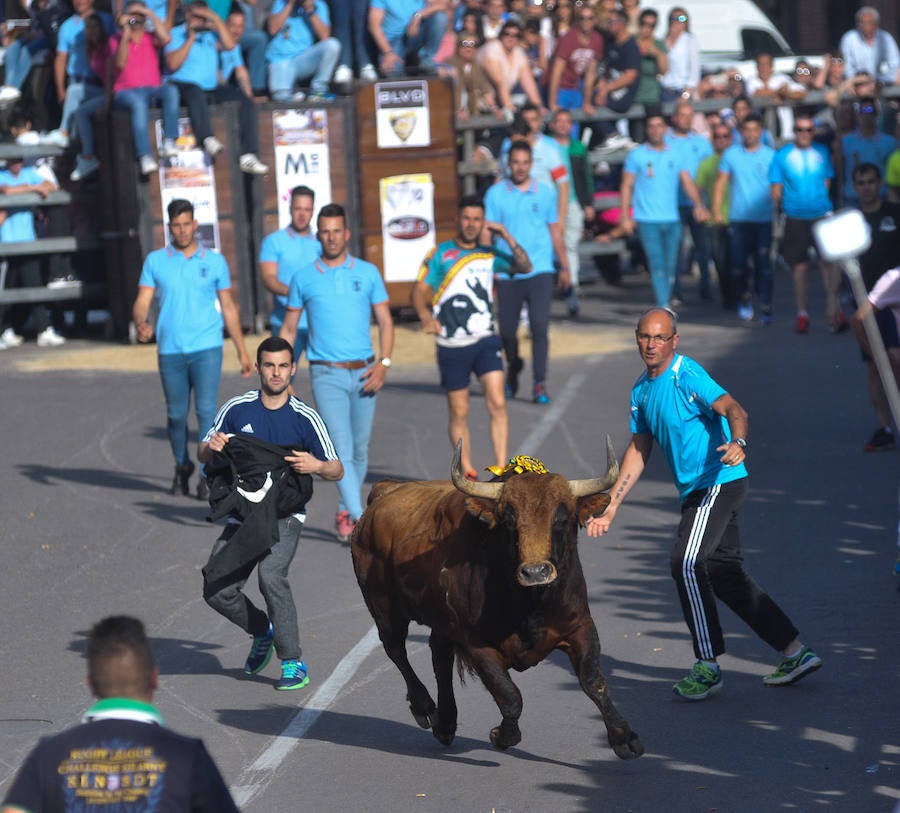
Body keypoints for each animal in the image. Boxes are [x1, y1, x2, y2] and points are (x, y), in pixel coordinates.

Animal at [348, 438, 644, 760]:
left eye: (561, 518)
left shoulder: (581, 627)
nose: (535, 572)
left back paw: (446, 723)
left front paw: (624, 738)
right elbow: (509, 695)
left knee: (439, 653)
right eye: (509, 521)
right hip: (383, 608)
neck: (530, 605)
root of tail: (384, 492)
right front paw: (502, 736)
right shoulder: (477, 645)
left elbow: (594, 682)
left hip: (439, 620)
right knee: (397, 650)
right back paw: (424, 707)